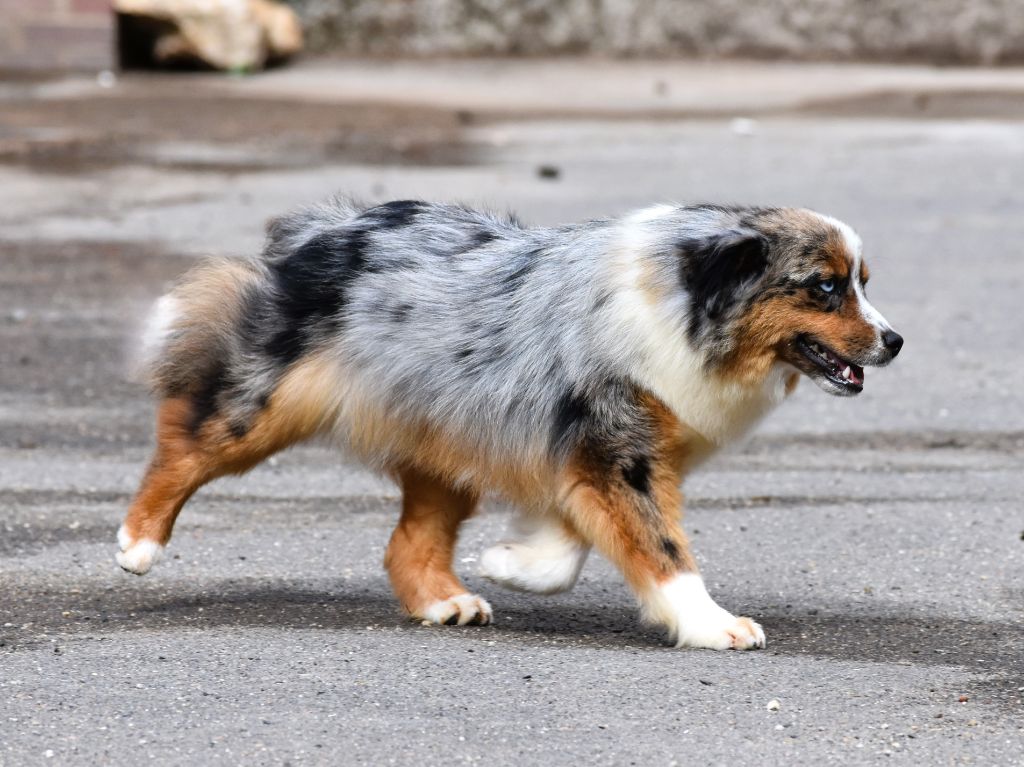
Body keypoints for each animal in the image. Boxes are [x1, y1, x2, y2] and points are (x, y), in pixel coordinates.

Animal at [117, 197, 905, 647]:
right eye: (825, 287)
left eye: (863, 284)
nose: (895, 341)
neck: (683, 301)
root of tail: (325, 228)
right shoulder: (617, 449)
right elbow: (662, 546)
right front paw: (713, 624)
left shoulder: (600, 451)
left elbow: (574, 540)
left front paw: (509, 562)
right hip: (271, 403)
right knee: (186, 434)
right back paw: (138, 541)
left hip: (448, 432)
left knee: (408, 541)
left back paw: (445, 601)